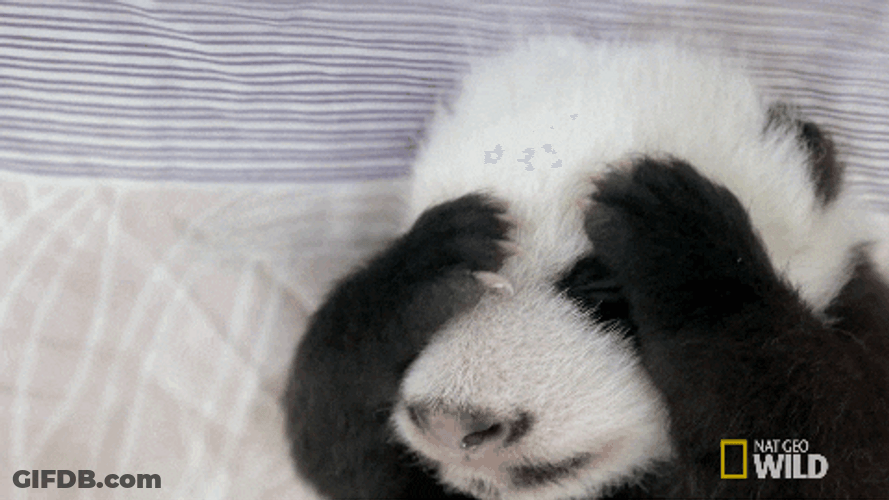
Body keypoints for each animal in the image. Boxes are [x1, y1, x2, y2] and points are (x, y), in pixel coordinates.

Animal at [284, 38, 889, 499]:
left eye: (601, 281)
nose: (453, 422)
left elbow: (834, 453)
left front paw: (674, 232)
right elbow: (332, 446)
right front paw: (433, 260)